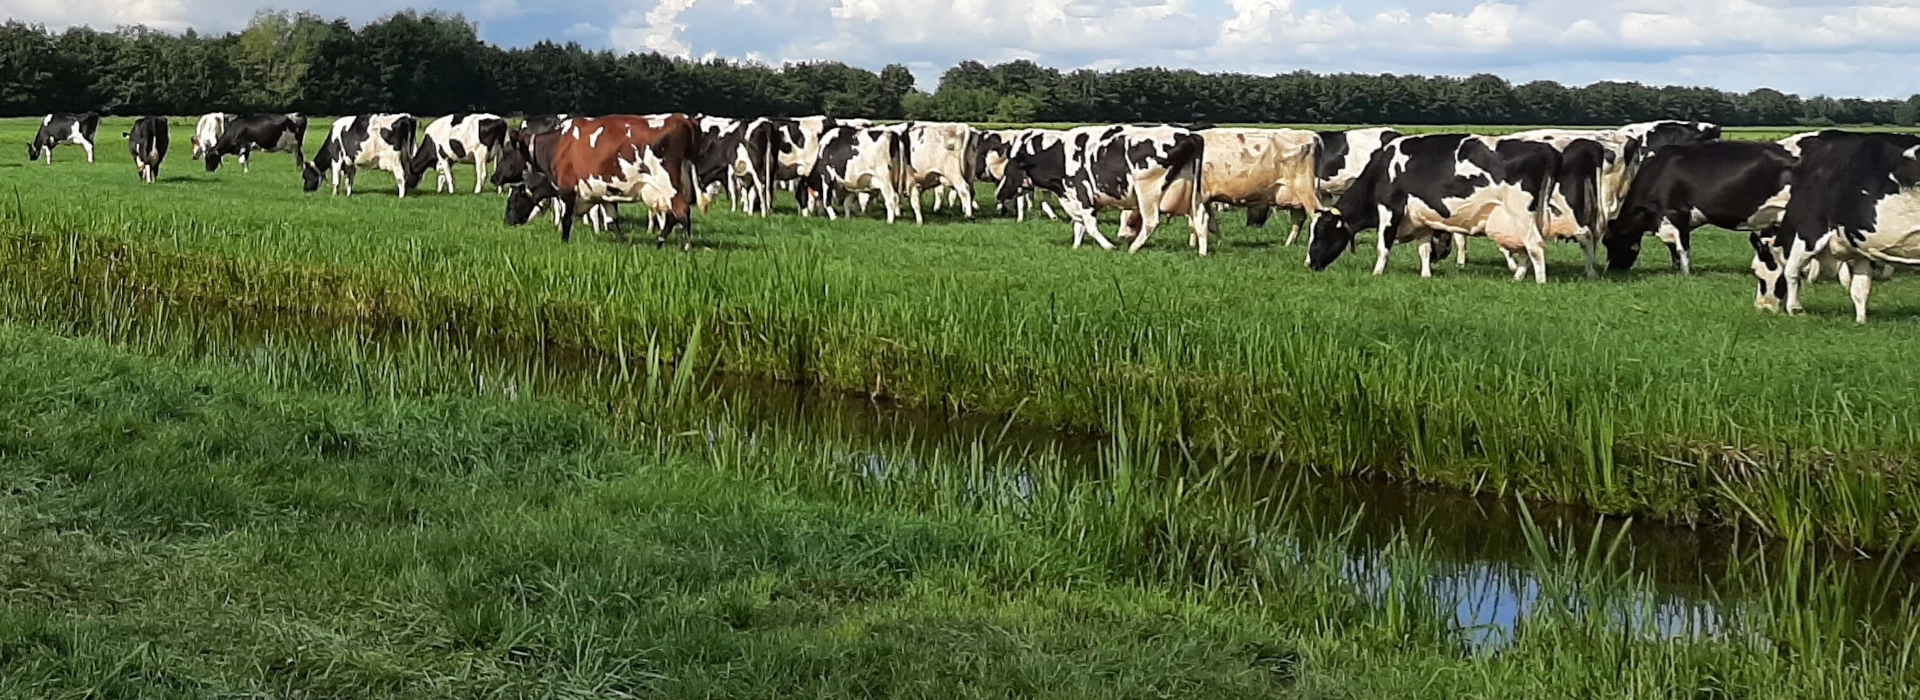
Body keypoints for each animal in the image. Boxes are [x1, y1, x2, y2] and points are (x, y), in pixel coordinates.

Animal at [504, 115, 702, 249]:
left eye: (512, 201)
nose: (506, 221)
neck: (559, 145)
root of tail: (683, 119)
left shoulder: (567, 189)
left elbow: (566, 219)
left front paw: (564, 243)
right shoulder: (604, 193)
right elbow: (612, 222)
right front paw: (623, 244)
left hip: (667, 184)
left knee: (682, 211)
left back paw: (685, 247)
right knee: (672, 215)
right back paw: (659, 244)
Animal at [1307, 134, 1561, 283]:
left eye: (1320, 233)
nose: (1309, 264)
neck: (1382, 170)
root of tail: (1544, 148)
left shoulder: (1390, 209)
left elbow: (1383, 246)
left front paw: (1377, 273)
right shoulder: (1422, 219)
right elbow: (1425, 250)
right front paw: (1426, 275)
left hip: (1521, 212)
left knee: (1535, 245)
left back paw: (1540, 282)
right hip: (1527, 218)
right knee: (1528, 247)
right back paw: (1518, 276)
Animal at [1603, 140, 1799, 275]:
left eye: (1611, 242)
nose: (1610, 270)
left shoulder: (1676, 213)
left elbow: (1682, 248)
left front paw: (1685, 274)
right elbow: (1672, 246)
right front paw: (1676, 269)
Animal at [1755, 131, 1920, 323]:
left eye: (1759, 274)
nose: (1762, 308)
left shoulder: (1810, 231)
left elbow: (1791, 271)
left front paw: (1795, 310)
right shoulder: (1860, 245)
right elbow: (1859, 289)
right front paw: (1861, 322)